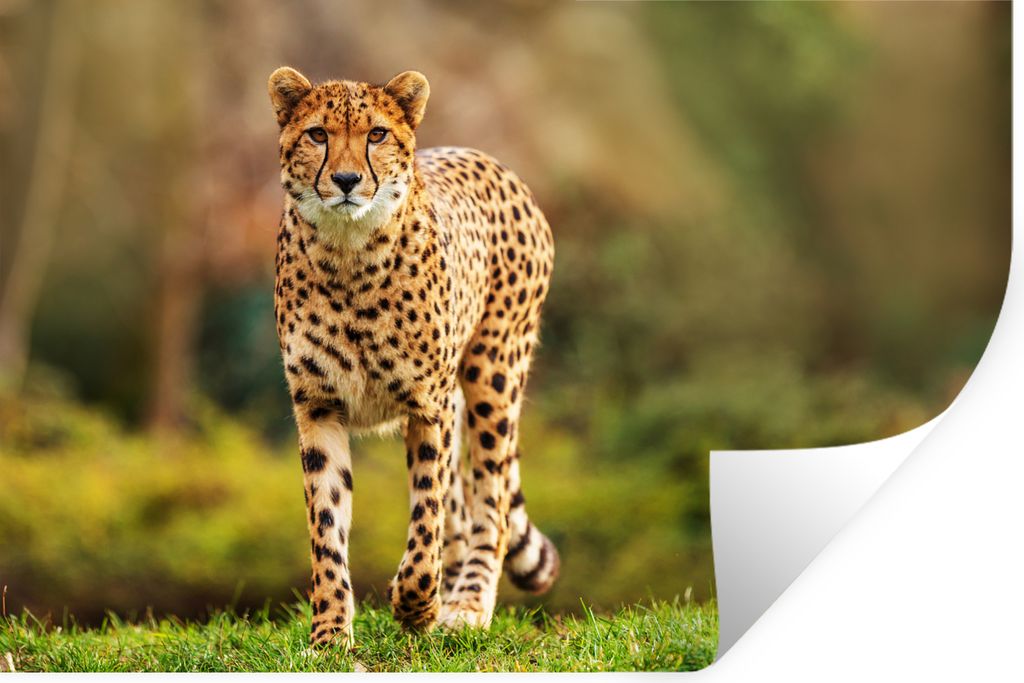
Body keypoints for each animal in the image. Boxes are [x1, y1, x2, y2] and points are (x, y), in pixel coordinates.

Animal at [268, 66, 559, 647]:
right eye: (318, 135)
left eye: (377, 135)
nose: (346, 180)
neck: (348, 253)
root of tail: (491, 161)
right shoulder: (318, 406)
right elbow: (326, 526)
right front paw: (330, 635)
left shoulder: (429, 404)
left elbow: (427, 516)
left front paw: (414, 604)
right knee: (464, 509)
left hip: (493, 374)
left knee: (488, 504)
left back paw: (466, 604)